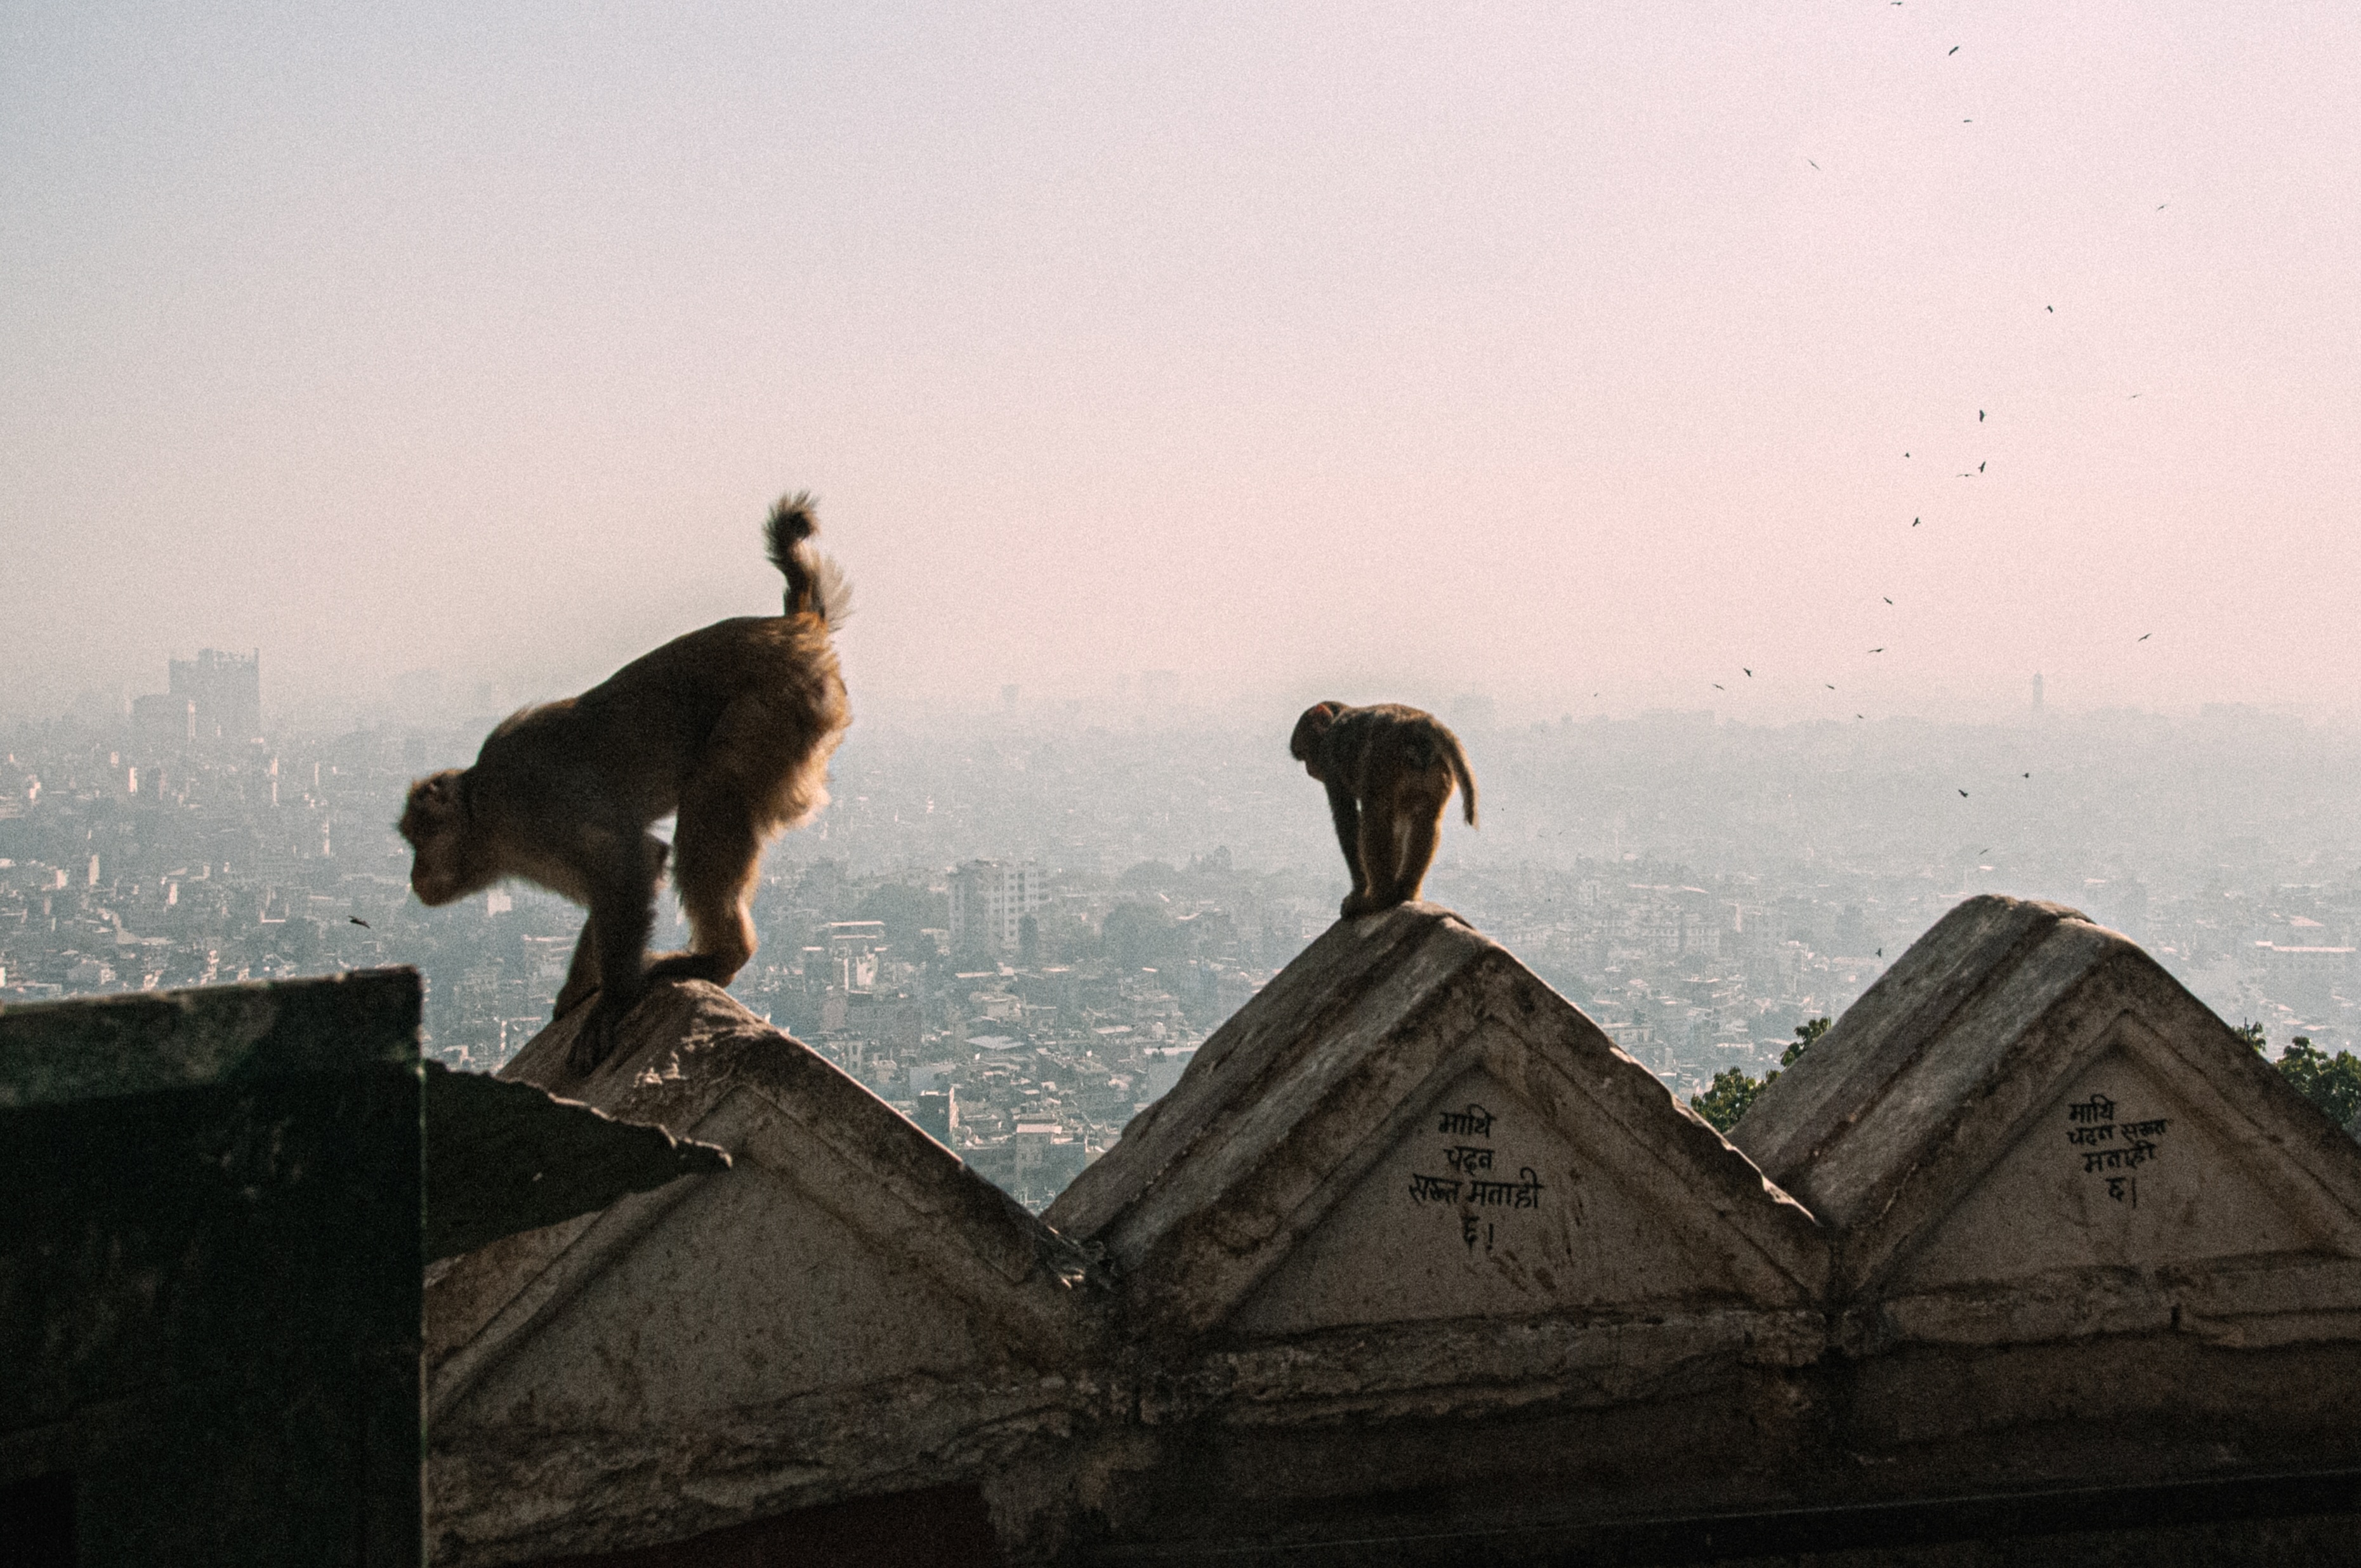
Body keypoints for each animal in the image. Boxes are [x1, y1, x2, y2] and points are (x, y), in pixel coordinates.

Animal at [399, 493, 851, 1075]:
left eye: (418, 839)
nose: (414, 875)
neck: (484, 817)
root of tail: (798, 626)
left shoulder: (527, 803)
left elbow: (629, 860)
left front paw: (610, 1002)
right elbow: (611, 885)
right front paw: (576, 990)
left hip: (776, 708)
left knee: (712, 797)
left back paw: (719, 958)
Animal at [1289, 702, 1478, 918]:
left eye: (1306, 752)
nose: (1309, 769)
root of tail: (1418, 722)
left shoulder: (1330, 760)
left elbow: (1347, 819)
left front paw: (1359, 891)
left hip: (1381, 761)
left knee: (1374, 816)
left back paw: (1378, 899)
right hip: (1437, 768)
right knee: (1427, 818)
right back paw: (1407, 891)